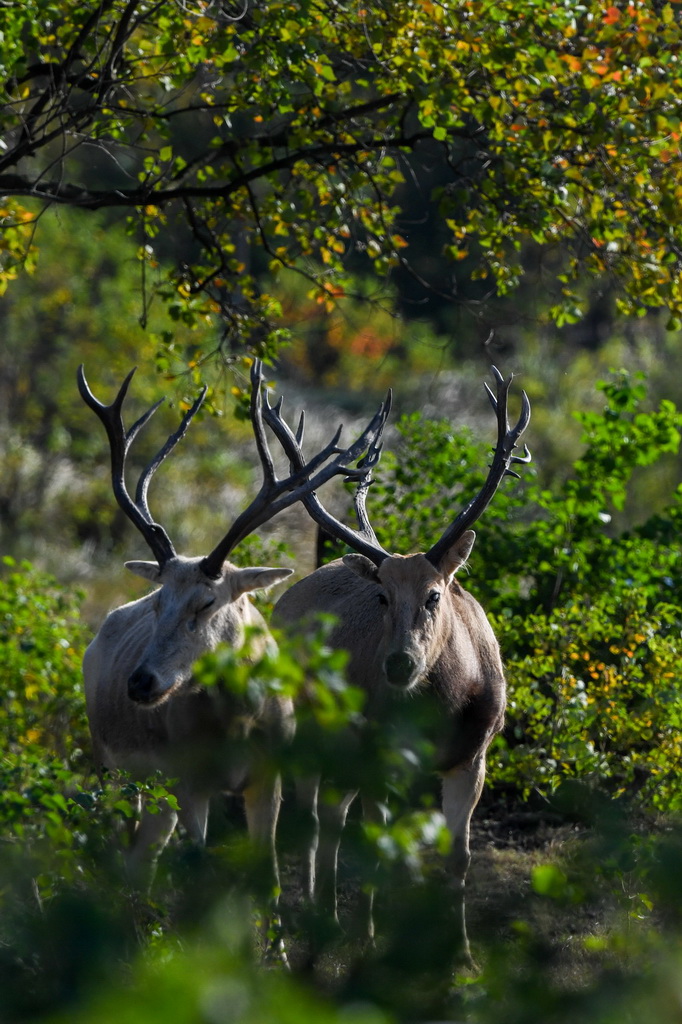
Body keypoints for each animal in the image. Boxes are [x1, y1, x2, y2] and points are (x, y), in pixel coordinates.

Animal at [75, 360, 387, 913]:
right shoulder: (189, 780)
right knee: (122, 848)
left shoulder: (268, 777)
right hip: (110, 763)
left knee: (142, 854)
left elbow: (268, 878)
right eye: (158, 602)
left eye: (206, 603)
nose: (140, 683)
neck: (238, 725)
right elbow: (197, 872)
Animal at [262, 368, 528, 958]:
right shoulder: (379, 758)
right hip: (310, 730)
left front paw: (461, 951)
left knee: (331, 816)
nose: (399, 665)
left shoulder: (473, 756)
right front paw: (375, 938)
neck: (440, 712)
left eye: (435, 595)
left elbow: (457, 856)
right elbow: (383, 850)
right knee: (314, 819)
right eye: (382, 596)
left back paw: (327, 914)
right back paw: (320, 919)